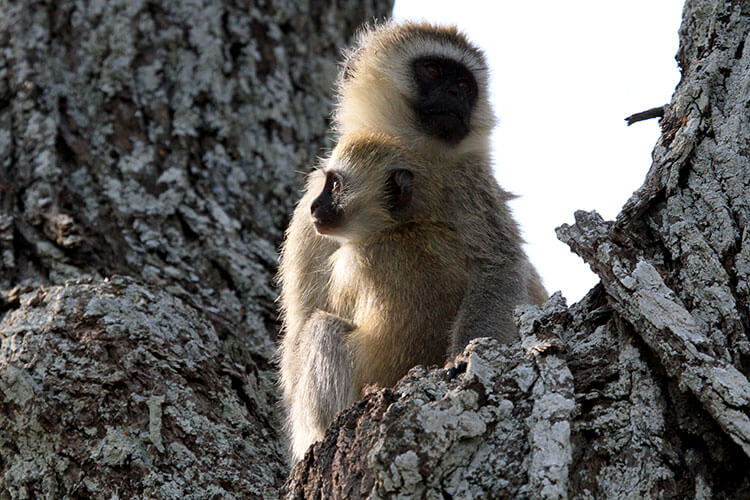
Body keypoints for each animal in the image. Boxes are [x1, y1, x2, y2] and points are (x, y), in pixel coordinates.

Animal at [334, 21, 548, 354]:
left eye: (464, 85)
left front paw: (464, 360)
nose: (455, 93)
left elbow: (498, 265)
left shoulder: (471, 181)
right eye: (433, 70)